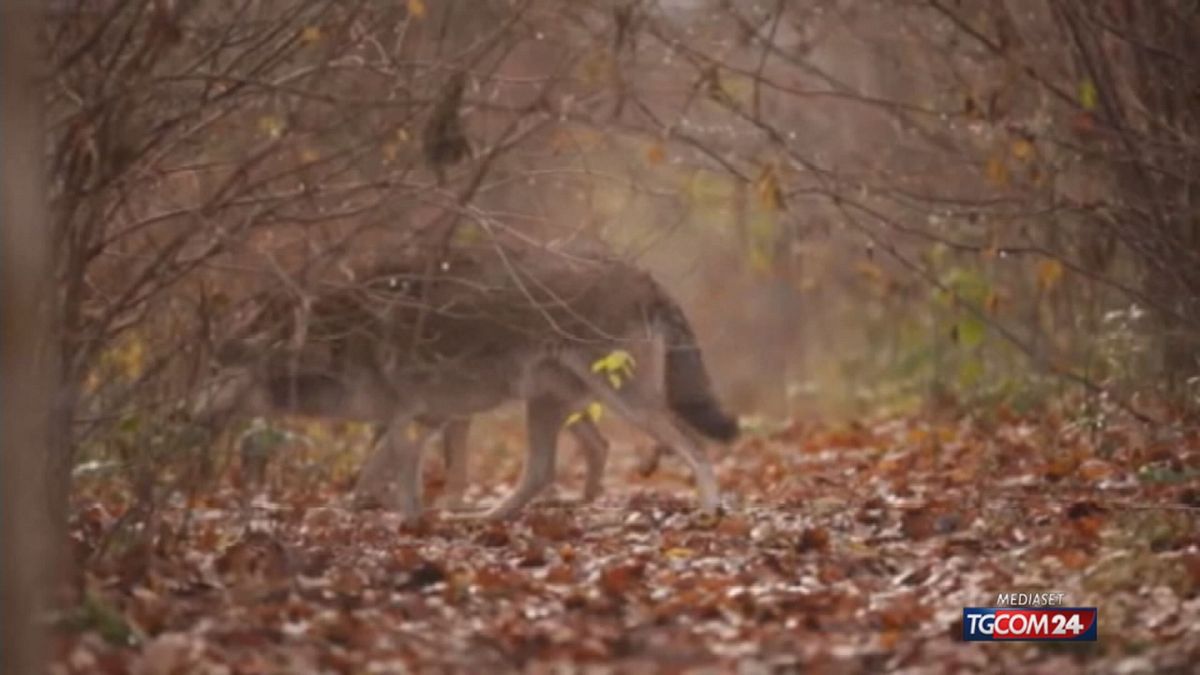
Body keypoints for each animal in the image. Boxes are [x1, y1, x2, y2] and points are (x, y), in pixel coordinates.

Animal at [206, 239, 734, 516]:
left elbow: (399, 475)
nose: (190, 414)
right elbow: (377, 476)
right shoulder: (433, 417)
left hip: (626, 401)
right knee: (548, 469)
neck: (335, 336)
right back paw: (493, 517)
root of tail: (645, 276)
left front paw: (408, 521)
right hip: (548, 402)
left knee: (695, 448)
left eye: (218, 368)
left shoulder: (409, 417)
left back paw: (709, 510)